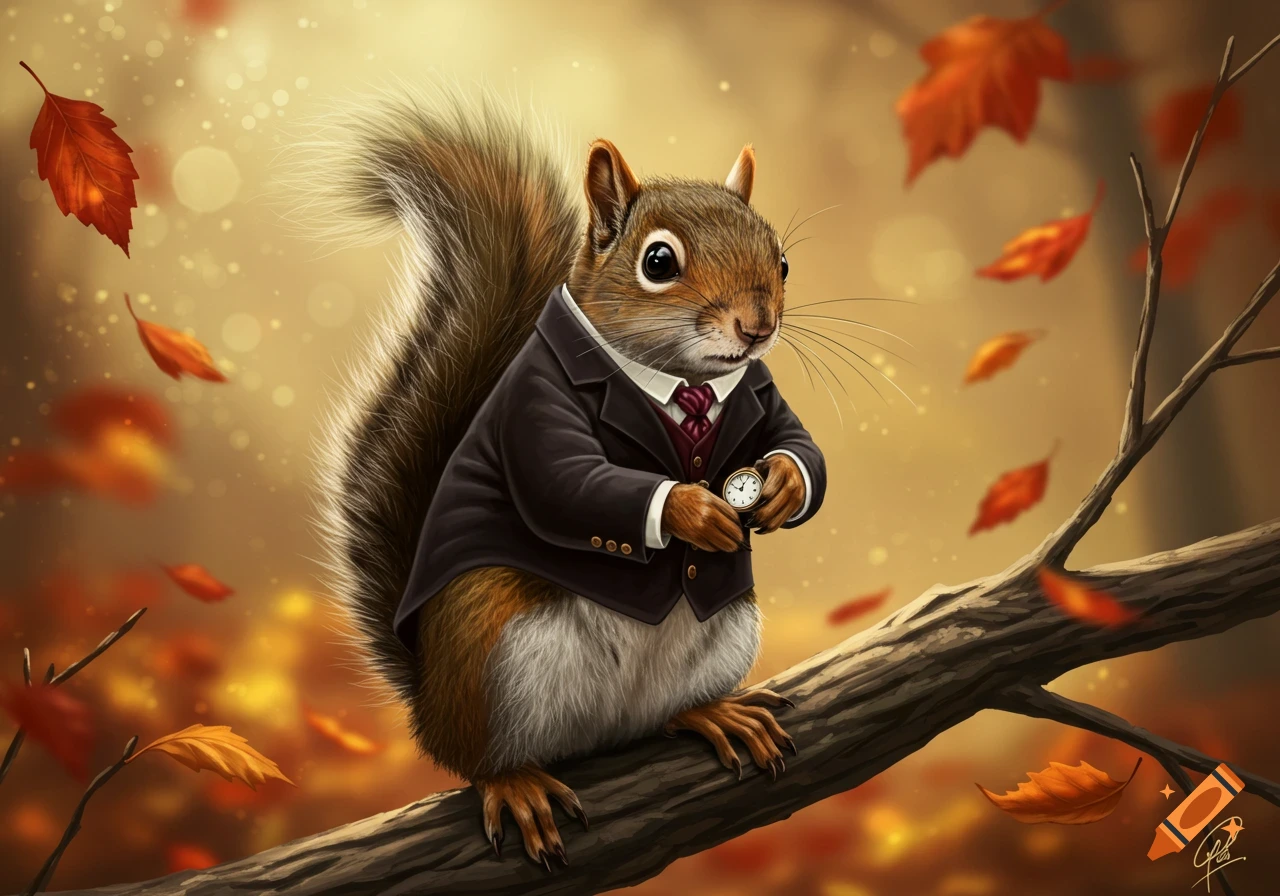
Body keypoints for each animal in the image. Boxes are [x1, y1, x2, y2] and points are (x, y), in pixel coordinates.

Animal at [312, 88, 826, 867]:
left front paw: (785, 486)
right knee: (476, 759)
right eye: (658, 260)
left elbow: (797, 444)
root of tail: (428, 699)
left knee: (662, 715)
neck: (681, 383)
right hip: (492, 656)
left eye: (786, 260)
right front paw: (691, 511)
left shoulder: (759, 392)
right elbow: (568, 484)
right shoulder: (536, 404)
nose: (757, 325)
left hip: (725, 634)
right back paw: (515, 783)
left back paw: (712, 712)